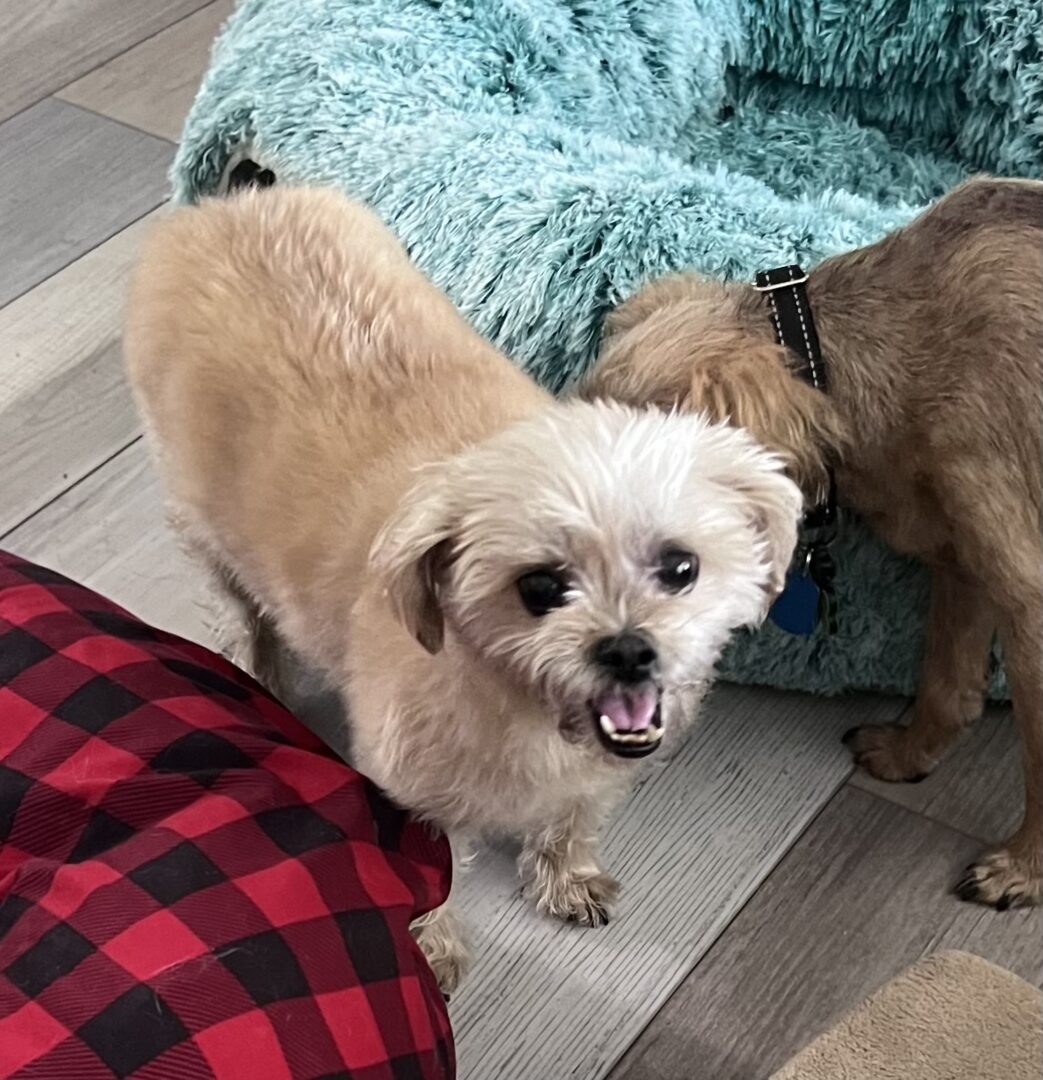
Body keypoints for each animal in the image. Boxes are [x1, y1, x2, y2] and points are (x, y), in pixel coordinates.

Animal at [124, 185, 807, 989]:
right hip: (204, 528)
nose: (629, 651)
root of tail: (226, 207)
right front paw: (432, 944)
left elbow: (575, 815)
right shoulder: (409, 787)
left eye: (680, 567)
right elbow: (429, 869)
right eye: (540, 587)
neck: (522, 704)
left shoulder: (597, 772)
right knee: (247, 611)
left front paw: (566, 874)